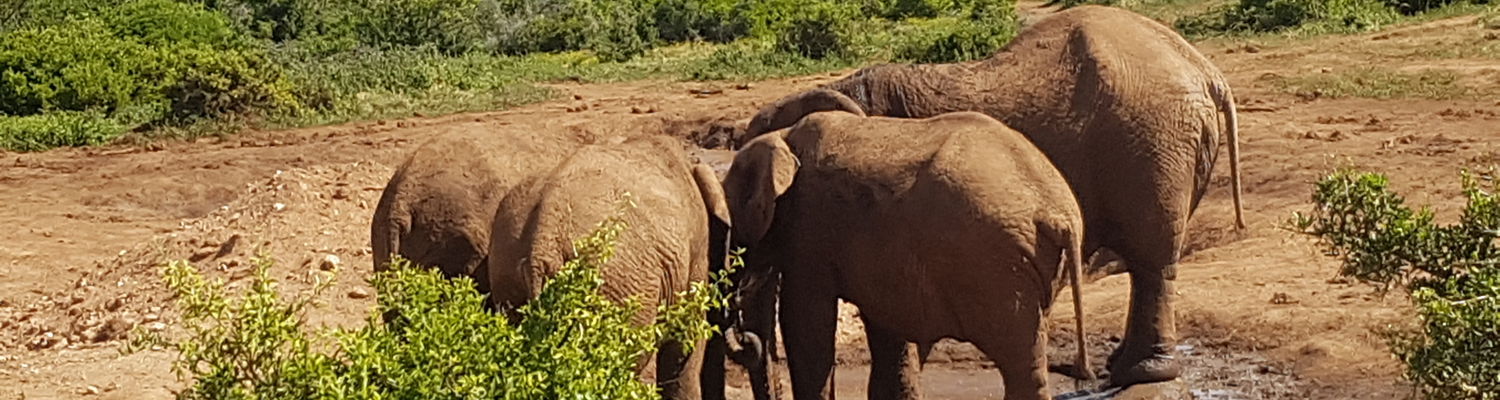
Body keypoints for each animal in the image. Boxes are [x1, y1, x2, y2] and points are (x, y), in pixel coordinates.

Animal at [717, 111, 1086, 400]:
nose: (746, 338)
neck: (781, 138)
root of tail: (1060, 214)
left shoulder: (809, 232)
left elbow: (805, 322)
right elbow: (887, 325)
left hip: (998, 269)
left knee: (1017, 361)